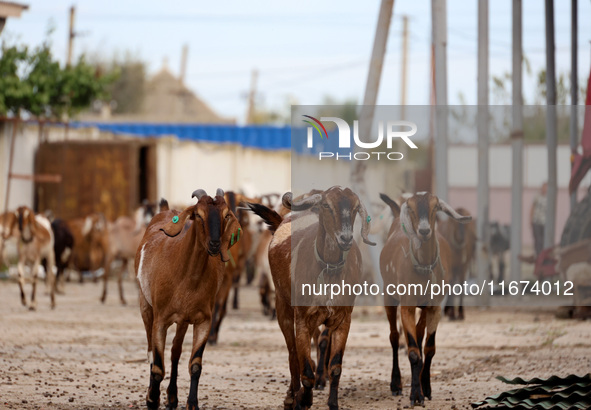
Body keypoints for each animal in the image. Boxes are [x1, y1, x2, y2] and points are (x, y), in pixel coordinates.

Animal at [136, 189, 240, 410]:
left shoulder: (203, 320)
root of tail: (166, 210)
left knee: (175, 352)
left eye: (226, 214)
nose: (214, 244)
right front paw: (152, 399)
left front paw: (192, 403)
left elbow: (195, 365)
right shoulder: (161, 319)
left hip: (183, 319)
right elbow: (157, 366)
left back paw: (172, 397)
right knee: (150, 351)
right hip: (145, 304)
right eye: (198, 215)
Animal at [247, 187, 372, 410]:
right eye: (326, 205)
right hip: (283, 308)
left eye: (355, 208)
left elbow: (335, 366)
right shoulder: (302, 320)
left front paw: (332, 403)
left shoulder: (343, 319)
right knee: (293, 355)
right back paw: (291, 396)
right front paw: (302, 399)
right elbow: (304, 370)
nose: (345, 238)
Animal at [380, 192, 472, 406]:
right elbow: (413, 351)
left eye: (434, 208)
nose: (423, 231)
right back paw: (396, 384)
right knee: (394, 337)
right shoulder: (407, 305)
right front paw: (415, 395)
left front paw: (426, 388)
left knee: (419, 335)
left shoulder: (434, 306)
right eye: (412, 209)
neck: (423, 267)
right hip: (389, 296)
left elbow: (429, 348)